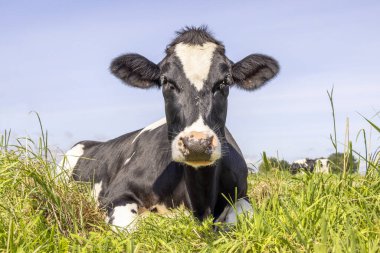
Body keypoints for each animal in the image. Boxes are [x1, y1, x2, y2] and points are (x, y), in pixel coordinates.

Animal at [58, 26, 280, 230]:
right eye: (166, 81)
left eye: (225, 81)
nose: (197, 144)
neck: (200, 201)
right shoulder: (115, 194)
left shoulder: (242, 194)